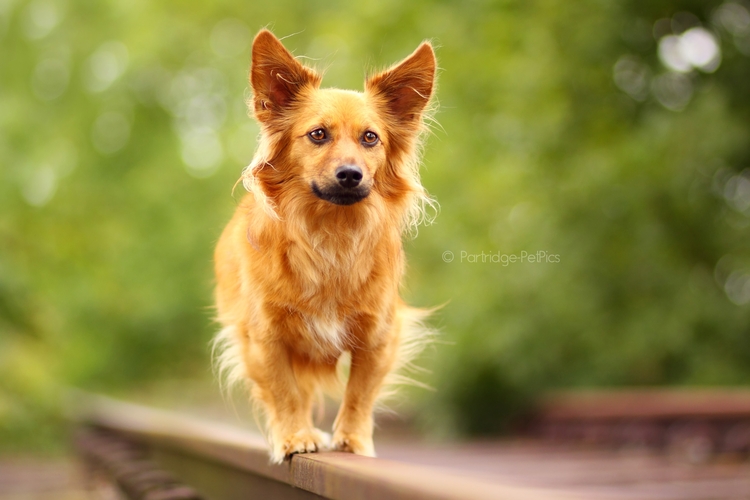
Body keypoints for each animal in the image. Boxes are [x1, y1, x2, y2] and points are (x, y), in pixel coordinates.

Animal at [213, 29, 434, 462]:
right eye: (318, 134)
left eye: (370, 138)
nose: (350, 174)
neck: (331, 233)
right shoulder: (264, 337)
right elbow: (284, 392)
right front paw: (295, 436)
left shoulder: (379, 334)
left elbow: (360, 393)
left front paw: (352, 440)